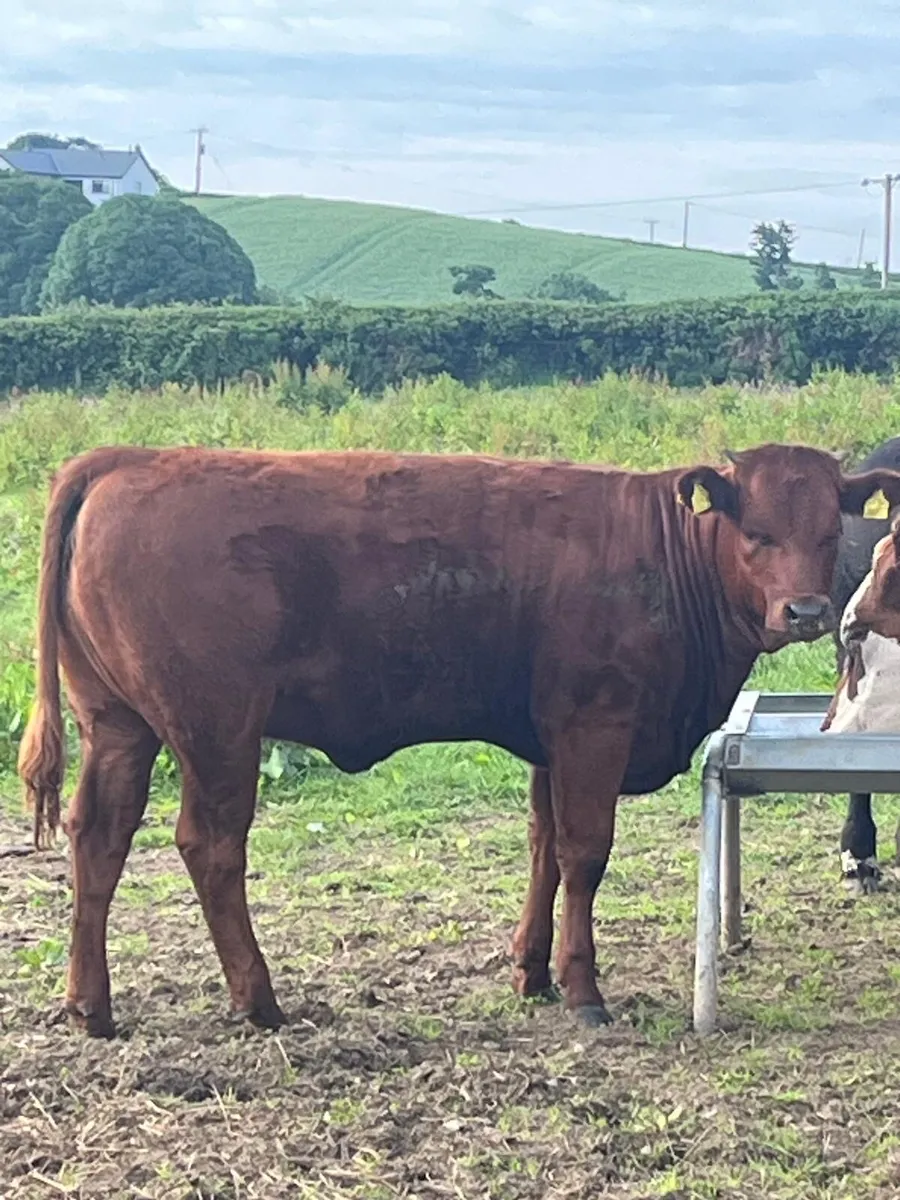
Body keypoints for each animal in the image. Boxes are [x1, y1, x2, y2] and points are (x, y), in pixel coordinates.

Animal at [18, 443, 900, 1039]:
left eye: (830, 531)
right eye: (755, 531)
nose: (807, 611)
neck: (662, 555)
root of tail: (130, 458)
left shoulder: (550, 740)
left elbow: (543, 848)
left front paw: (531, 972)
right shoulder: (595, 726)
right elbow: (584, 854)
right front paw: (583, 990)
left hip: (119, 725)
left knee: (98, 838)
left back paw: (91, 1005)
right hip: (217, 726)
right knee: (210, 846)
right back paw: (259, 999)